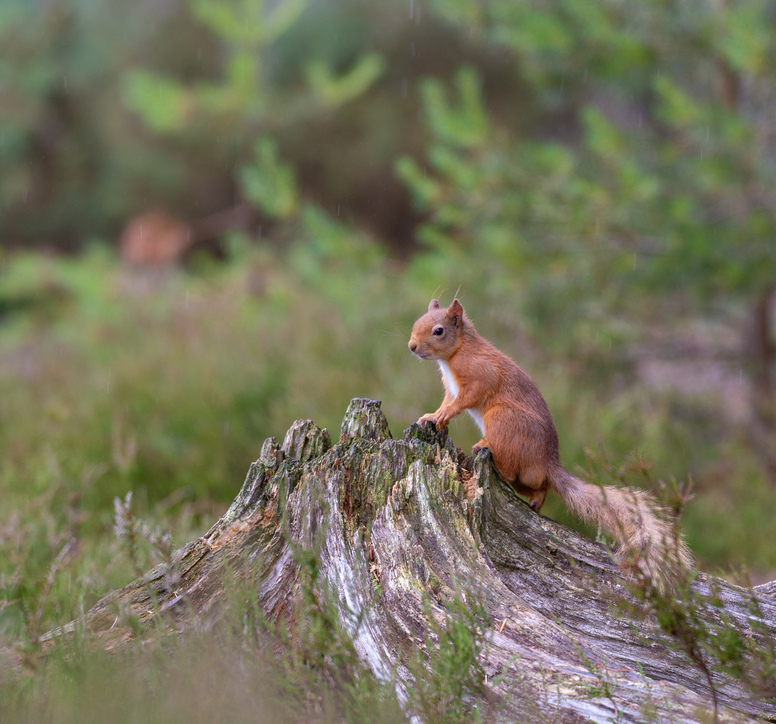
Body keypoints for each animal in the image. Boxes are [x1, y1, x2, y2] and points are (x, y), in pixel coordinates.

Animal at [408, 298, 692, 579]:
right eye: (416, 322)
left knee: (511, 470)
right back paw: (535, 499)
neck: (455, 353)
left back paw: (488, 448)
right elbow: (447, 402)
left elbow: (465, 399)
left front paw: (444, 414)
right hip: (526, 476)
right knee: (537, 485)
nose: (411, 346)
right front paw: (431, 416)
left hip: (502, 419)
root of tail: (548, 463)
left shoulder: (480, 374)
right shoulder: (450, 388)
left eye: (438, 331)